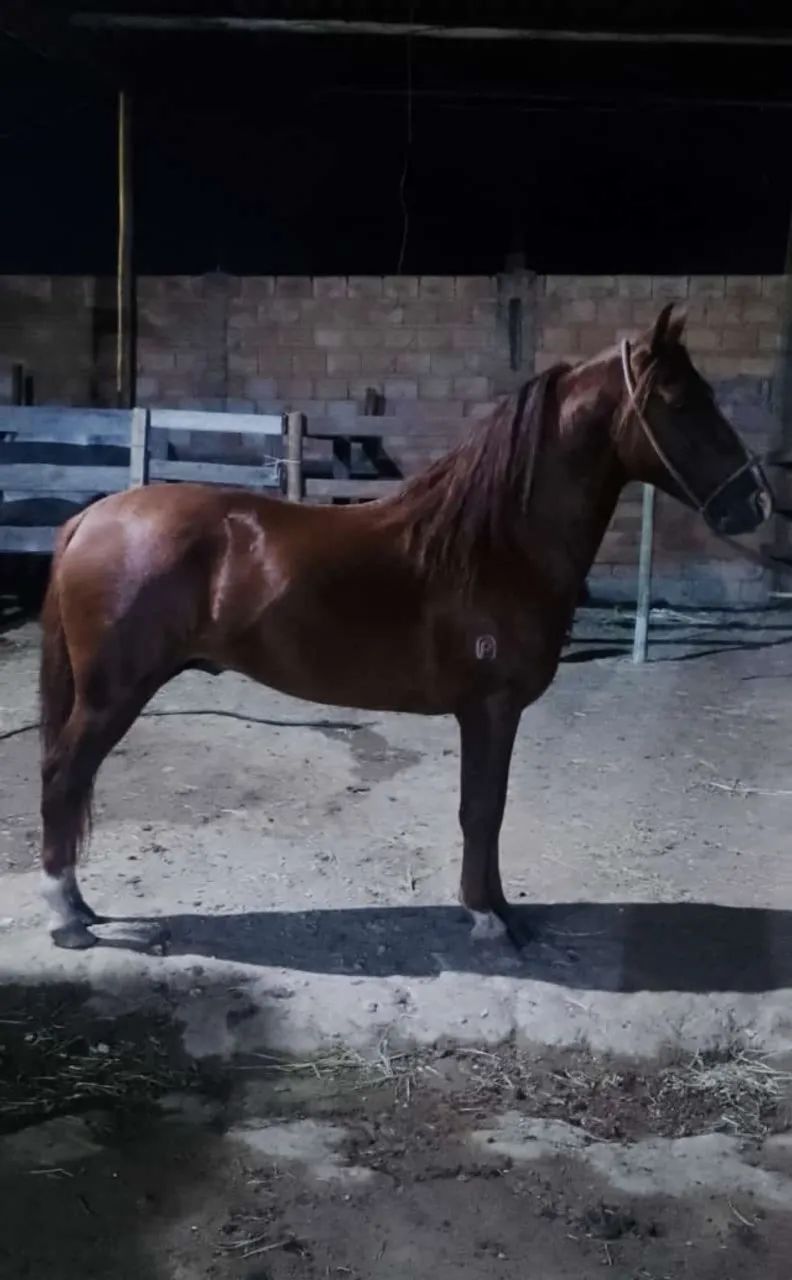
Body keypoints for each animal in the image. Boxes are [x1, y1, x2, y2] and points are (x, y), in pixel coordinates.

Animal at [38, 304, 772, 951]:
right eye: (681, 401)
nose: (755, 502)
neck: (496, 544)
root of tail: (92, 518)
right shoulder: (490, 708)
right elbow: (483, 809)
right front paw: (489, 918)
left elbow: (487, 810)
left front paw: (497, 909)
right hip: (112, 696)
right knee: (63, 777)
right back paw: (69, 921)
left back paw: (83, 912)